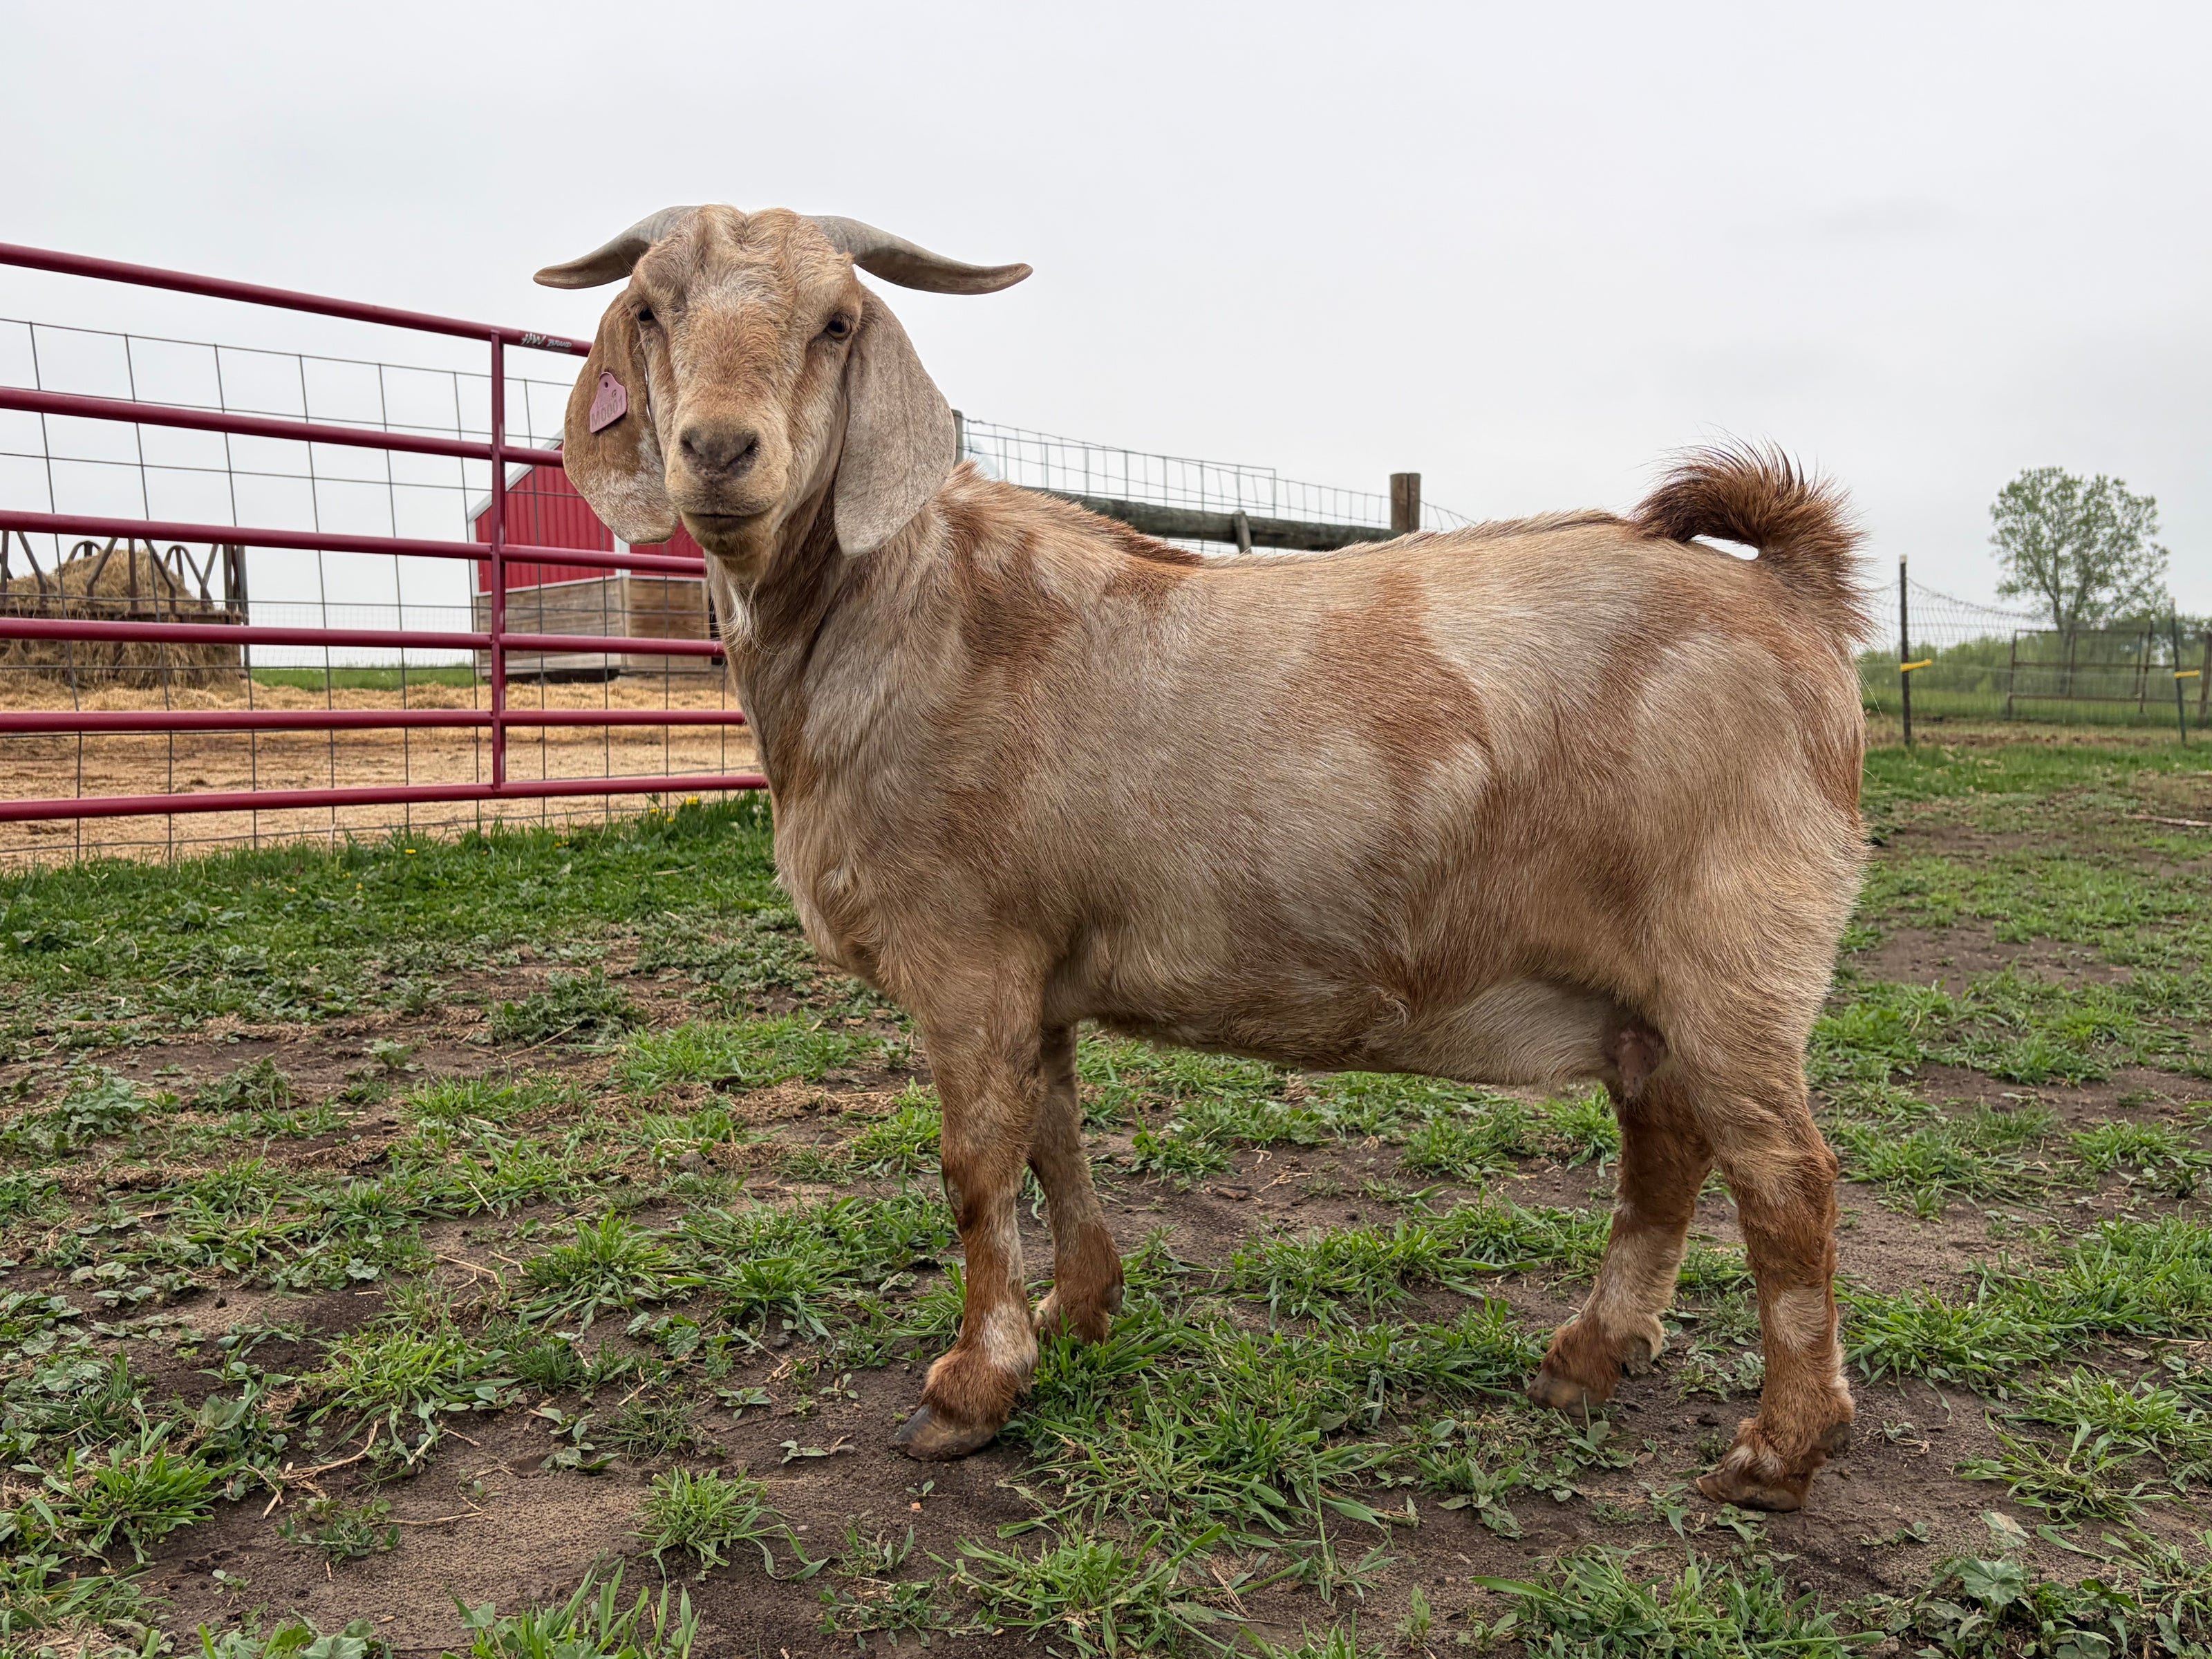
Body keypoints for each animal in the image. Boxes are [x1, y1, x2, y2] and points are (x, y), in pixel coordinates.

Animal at [536, 206, 1871, 1512]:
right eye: (649, 308)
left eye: (835, 322)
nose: (719, 450)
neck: (900, 609)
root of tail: (1793, 599)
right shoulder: (1038, 967)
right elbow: (1052, 1131)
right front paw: (1080, 1311)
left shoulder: (968, 953)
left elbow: (975, 1164)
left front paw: (970, 1389)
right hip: (1652, 985)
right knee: (1667, 1147)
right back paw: (1587, 1360)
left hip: (1736, 946)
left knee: (1786, 1183)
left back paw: (1777, 1452)